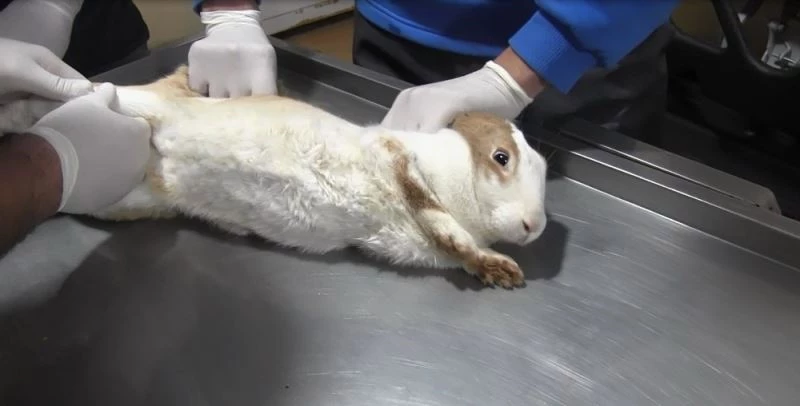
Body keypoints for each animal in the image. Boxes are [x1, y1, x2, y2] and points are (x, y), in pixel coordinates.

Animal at [0, 65, 548, 289]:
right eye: (501, 157)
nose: (535, 228)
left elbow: (453, 246)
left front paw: (497, 273)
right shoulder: (398, 163)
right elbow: (440, 217)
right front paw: (507, 268)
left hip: (126, 195)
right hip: (132, 105)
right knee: (71, 99)